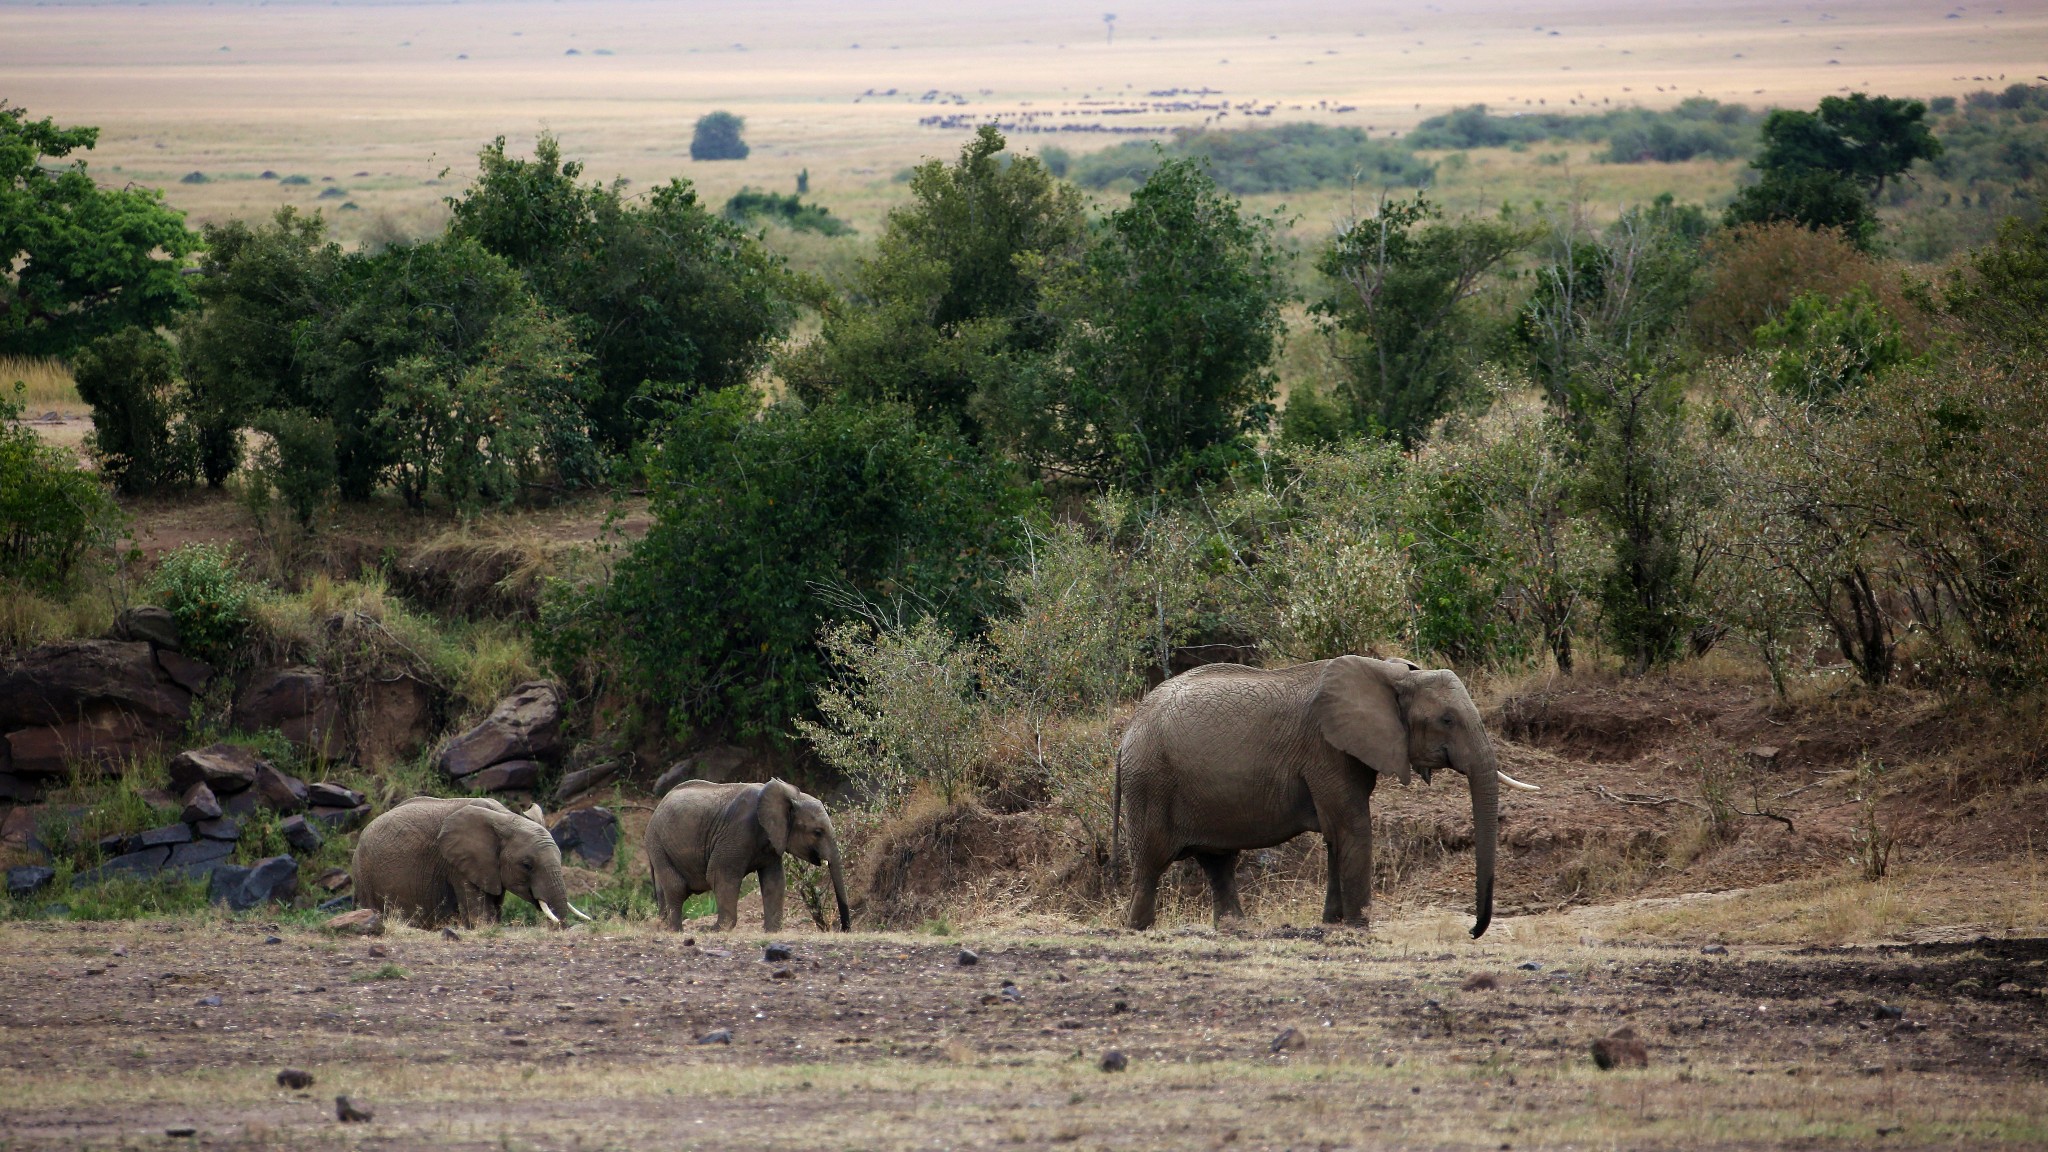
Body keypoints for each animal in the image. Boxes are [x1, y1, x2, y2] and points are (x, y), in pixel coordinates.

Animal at [651, 774, 851, 926]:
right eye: (817, 832)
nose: (844, 928)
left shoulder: (772, 842)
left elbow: (774, 881)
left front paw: (772, 931)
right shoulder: (738, 830)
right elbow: (721, 874)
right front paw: (715, 930)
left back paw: (663, 927)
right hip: (658, 843)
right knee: (676, 887)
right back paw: (675, 931)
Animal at [1122, 655, 1540, 934]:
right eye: (1447, 720)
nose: (1472, 930)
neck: (1391, 676)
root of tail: (1130, 727)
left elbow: (1337, 837)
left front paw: (1333, 924)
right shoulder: (1326, 749)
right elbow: (1353, 828)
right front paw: (1359, 928)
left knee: (1218, 861)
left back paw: (1235, 929)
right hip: (1149, 781)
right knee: (1151, 863)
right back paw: (1139, 929)